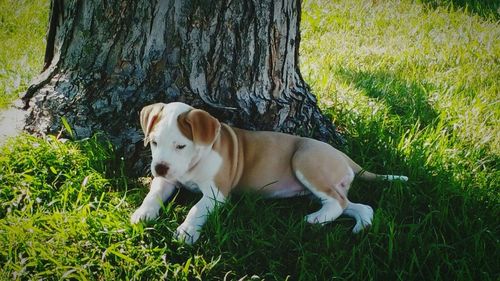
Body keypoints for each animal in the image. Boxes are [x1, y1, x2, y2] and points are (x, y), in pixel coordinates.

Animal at [129, 101, 406, 242]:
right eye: (154, 142)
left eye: (180, 146)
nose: (160, 167)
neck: (196, 158)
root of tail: (343, 155)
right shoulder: (167, 181)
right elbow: (153, 195)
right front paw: (143, 213)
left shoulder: (216, 194)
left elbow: (196, 209)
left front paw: (187, 231)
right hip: (320, 189)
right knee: (358, 206)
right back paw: (358, 225)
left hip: (305, 160)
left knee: (338, 202)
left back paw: (313, 220)